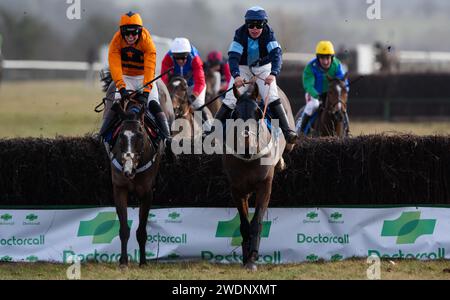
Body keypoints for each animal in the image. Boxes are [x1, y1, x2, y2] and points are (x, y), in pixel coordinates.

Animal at [105, 98, 165, 268]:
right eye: (121, 136)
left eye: (139, 135)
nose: (128, 170)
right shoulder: (119, 188)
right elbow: (124, 229)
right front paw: (123, 261)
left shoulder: (147, 193)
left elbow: (142, 230)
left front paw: (143, 261)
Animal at [221, 83, 288, 270]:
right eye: (235, 114)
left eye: (258, 113)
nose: (247, 148)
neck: (248, 159)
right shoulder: (236, 189)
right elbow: (244, 224)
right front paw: (246, 258)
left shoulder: (265, 185)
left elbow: (256, 222)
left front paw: (252, 259)